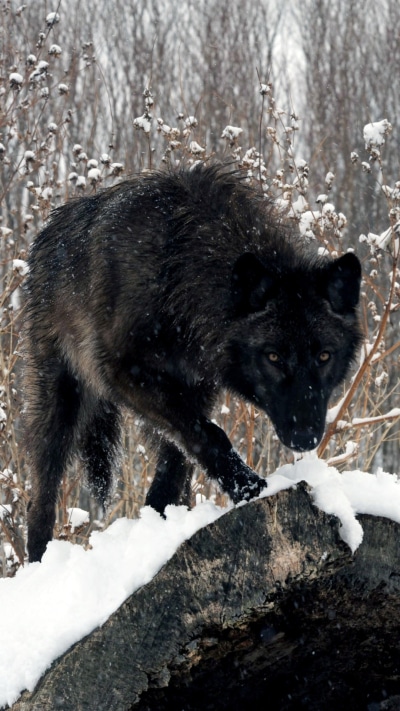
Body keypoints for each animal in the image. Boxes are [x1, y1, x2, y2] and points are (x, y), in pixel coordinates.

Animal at [24, 163, 362, 562]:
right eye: (273, 357)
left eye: (324, 356)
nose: (305, 435)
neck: (179, 267)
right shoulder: (125, 374)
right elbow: (210, 435)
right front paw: (250, 488)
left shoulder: (196, 390)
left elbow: (179, 462)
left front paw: (162, 526)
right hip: (62, 403)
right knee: (42, 491)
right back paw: (39, 561)